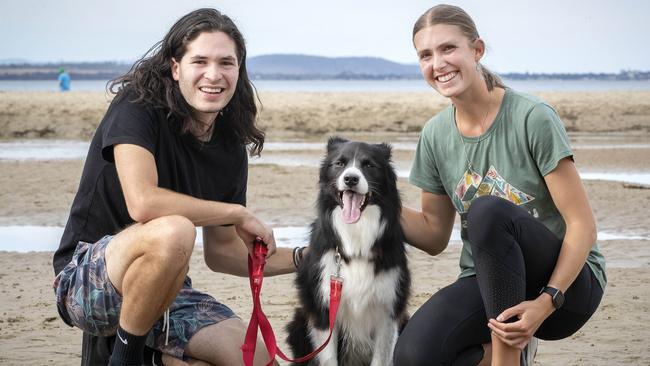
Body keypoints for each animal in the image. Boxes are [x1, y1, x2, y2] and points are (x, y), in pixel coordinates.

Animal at [286, 138, 408, 366]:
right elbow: (328, 357)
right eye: (339, 164)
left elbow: (381, 358)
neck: (355, 240)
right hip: (299, 322)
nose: (351, 178)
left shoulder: (387, 311)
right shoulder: (323, 311)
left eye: (369, 165)